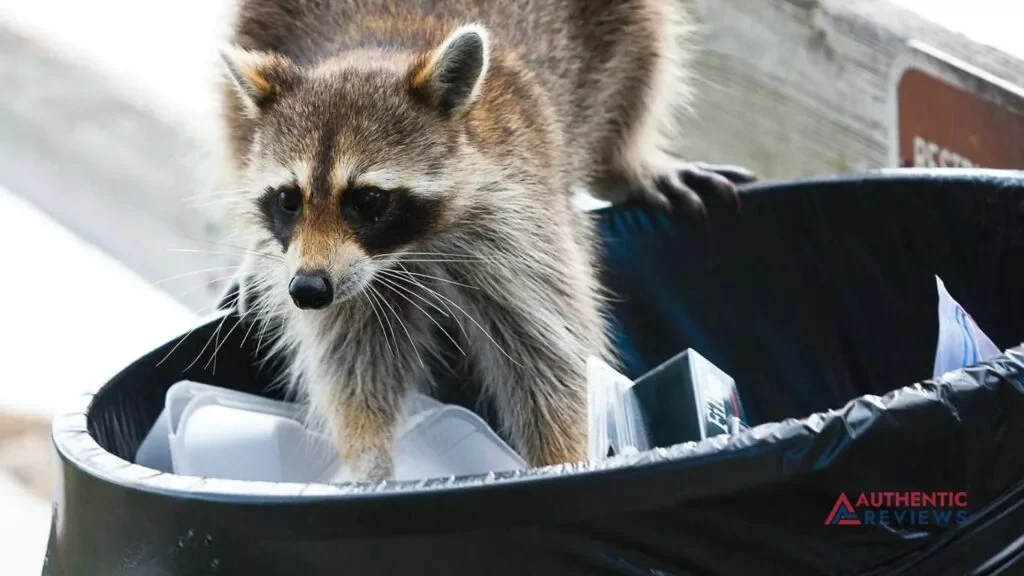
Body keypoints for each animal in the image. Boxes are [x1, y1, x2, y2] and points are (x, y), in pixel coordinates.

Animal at [218, 0, 753, 479]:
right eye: (288, 200)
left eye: (367, 200)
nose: (307, 290)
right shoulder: (343, 275)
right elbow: (352, 359)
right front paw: (370, 460)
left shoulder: (522, 220)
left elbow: (552, 354)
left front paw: (563, 458)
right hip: (256, 27)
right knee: (234, 122)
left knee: (644, 66)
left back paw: (627, 163)